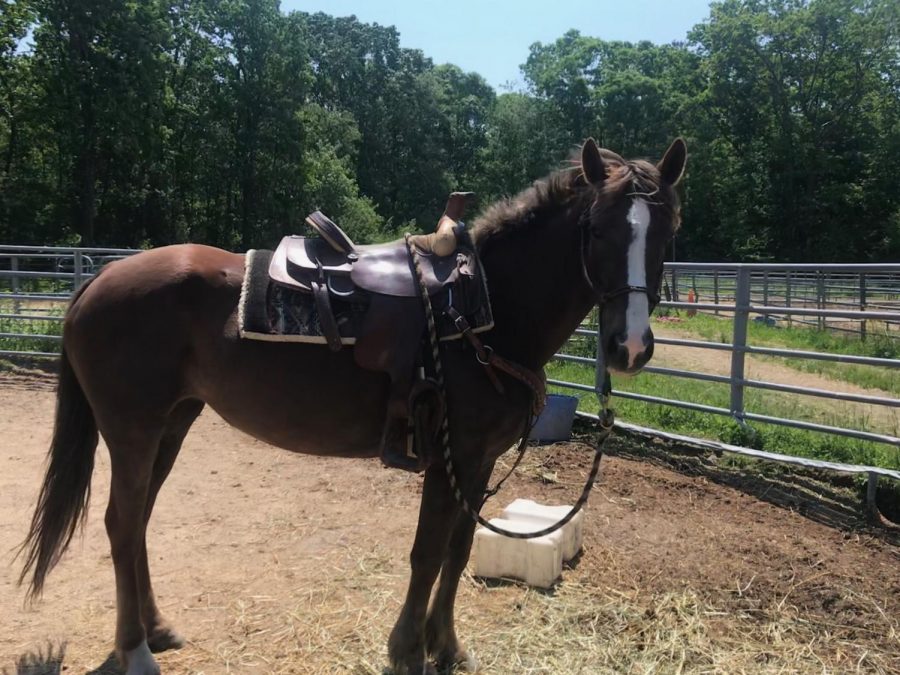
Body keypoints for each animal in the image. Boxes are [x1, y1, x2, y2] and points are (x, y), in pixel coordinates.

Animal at [19, 139, 684, 675]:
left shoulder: (478, 462)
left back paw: (156, 629)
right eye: (597, 229)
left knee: (137, 524)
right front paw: (408, 651)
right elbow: (426, 554)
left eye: (666, 232)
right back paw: (135, 650)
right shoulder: (451, 458)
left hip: (173, 424)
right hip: (132, 428)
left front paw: (447, 646)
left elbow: (458, 551)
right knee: (122, 522)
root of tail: (100, 279)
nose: (629, 347)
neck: (485, 309)